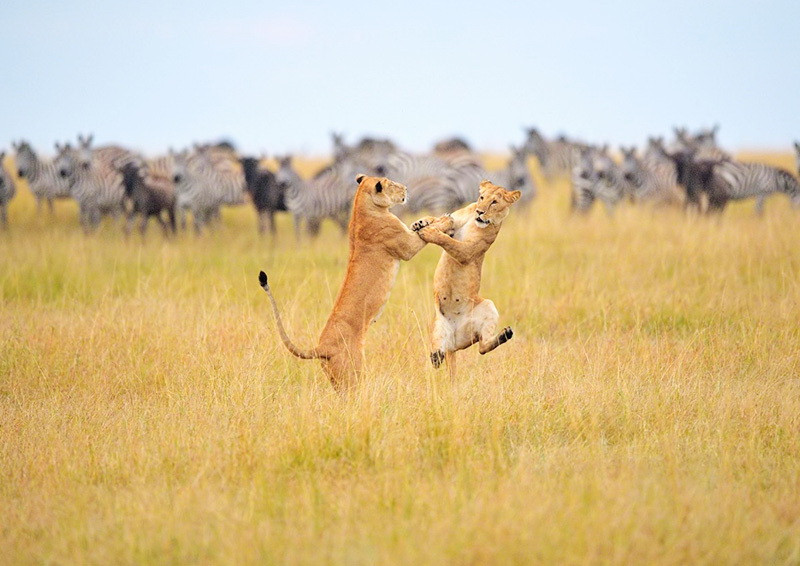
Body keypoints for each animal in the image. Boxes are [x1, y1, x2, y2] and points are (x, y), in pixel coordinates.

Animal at [260, 175, 454, 392]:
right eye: (392, 184)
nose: (406, 188)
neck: (362, 205)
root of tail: (321, 347)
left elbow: (425, 224)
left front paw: (423, 221)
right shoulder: (406, 247)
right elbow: (427, 233)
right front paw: (445, 220)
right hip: (352, 372)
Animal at [410, 180, 520, 380]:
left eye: (494, 202)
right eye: (482, 197)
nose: (480, 212)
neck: (473, 220)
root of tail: (453, 344)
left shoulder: (468, 251)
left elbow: (449, 241)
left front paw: (429, 231)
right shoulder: (457, 223)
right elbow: (440, 220)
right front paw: (421, 222)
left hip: (488, 306)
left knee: (482, 348)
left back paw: (505, 334)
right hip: (438, 328)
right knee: (442, 355)